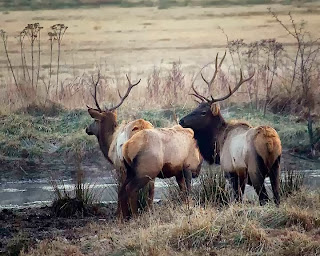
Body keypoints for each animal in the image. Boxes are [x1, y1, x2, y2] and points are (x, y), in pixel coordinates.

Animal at [85, 72, 155, 218]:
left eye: (95, 120)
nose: (87, 129)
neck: (110, 141)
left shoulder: (119, 166)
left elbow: (120, 191)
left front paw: (120, 215)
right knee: (150, 187)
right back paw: (149, 212)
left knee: (132, 189)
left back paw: (134, 215)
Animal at [180, 52, 282, 206]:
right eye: (196, 107)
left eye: (203, 112)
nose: (181, 120)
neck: (218, 144)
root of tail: (269, 142)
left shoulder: (231, 170)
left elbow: (237, 197)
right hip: (276, 167)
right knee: (277, 196)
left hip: (255, 168)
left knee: (264, 198)